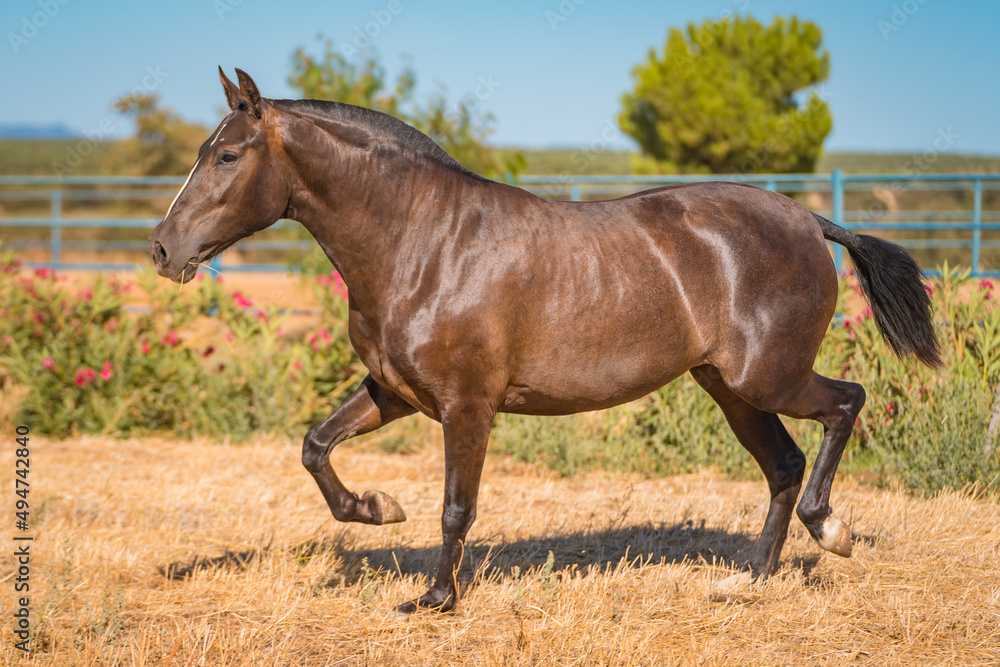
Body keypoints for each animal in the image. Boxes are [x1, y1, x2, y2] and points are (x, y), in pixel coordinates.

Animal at [149, 68, 940, 613]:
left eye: (227, 156)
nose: (161, 248)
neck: (423, 243)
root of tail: (809, 220)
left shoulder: (468, 406)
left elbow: (456, 505)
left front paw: (434, 598)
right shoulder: (395, 392)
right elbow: (316, 446)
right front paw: (377, 509)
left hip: (765, 376)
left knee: (845, 405)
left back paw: (830, 530)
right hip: (729, 388)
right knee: (783, 464)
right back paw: (752, 578)